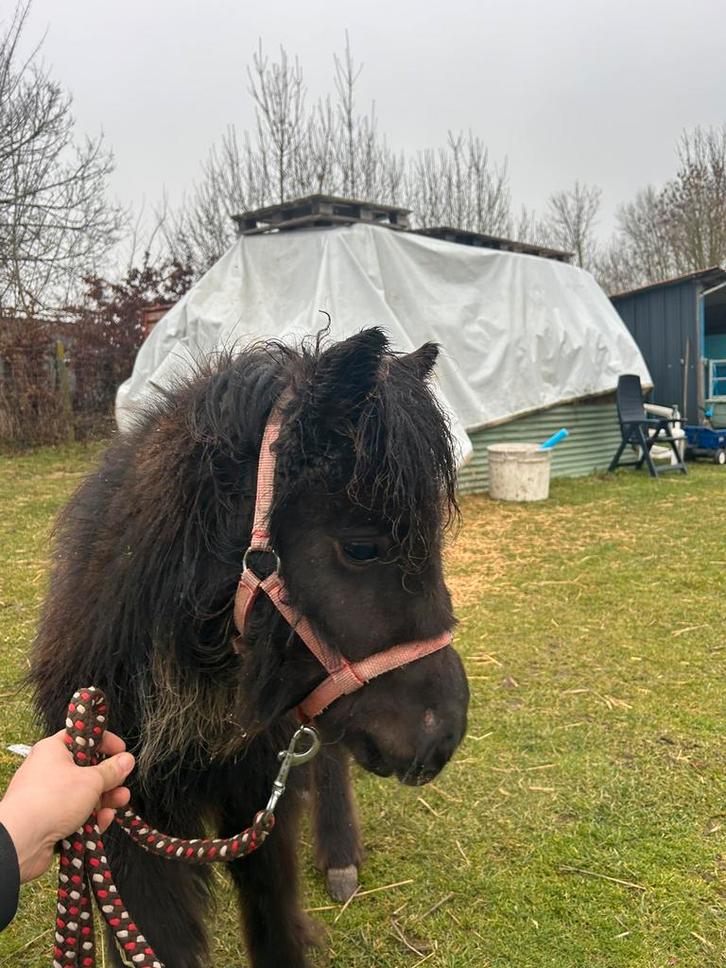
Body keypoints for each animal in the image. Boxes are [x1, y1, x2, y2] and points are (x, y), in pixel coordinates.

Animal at [30, 327, 469, 968]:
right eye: (362, 548)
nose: (443, 737)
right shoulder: (124, 828)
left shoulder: (259, 800)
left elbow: (273, 920)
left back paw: (340, 858)